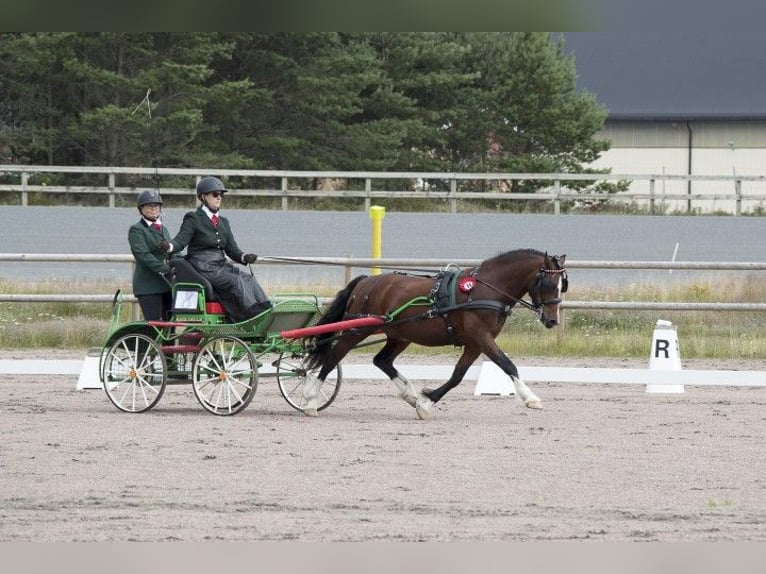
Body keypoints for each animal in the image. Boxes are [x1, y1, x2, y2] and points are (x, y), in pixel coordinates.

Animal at [304, 250, 568, 420]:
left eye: (561, 285)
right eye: (547, 283)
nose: (552, 320)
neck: (485, 289)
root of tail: (366, 281)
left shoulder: (475, 344)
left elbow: (457, 375)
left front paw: (425, 402)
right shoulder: (482, 337)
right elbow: (508, 365)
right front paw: (530, 398)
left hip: (399, 335)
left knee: (381, 361)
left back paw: (409, 394)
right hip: (356, 330)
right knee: (333, 357)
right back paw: (310, 399)